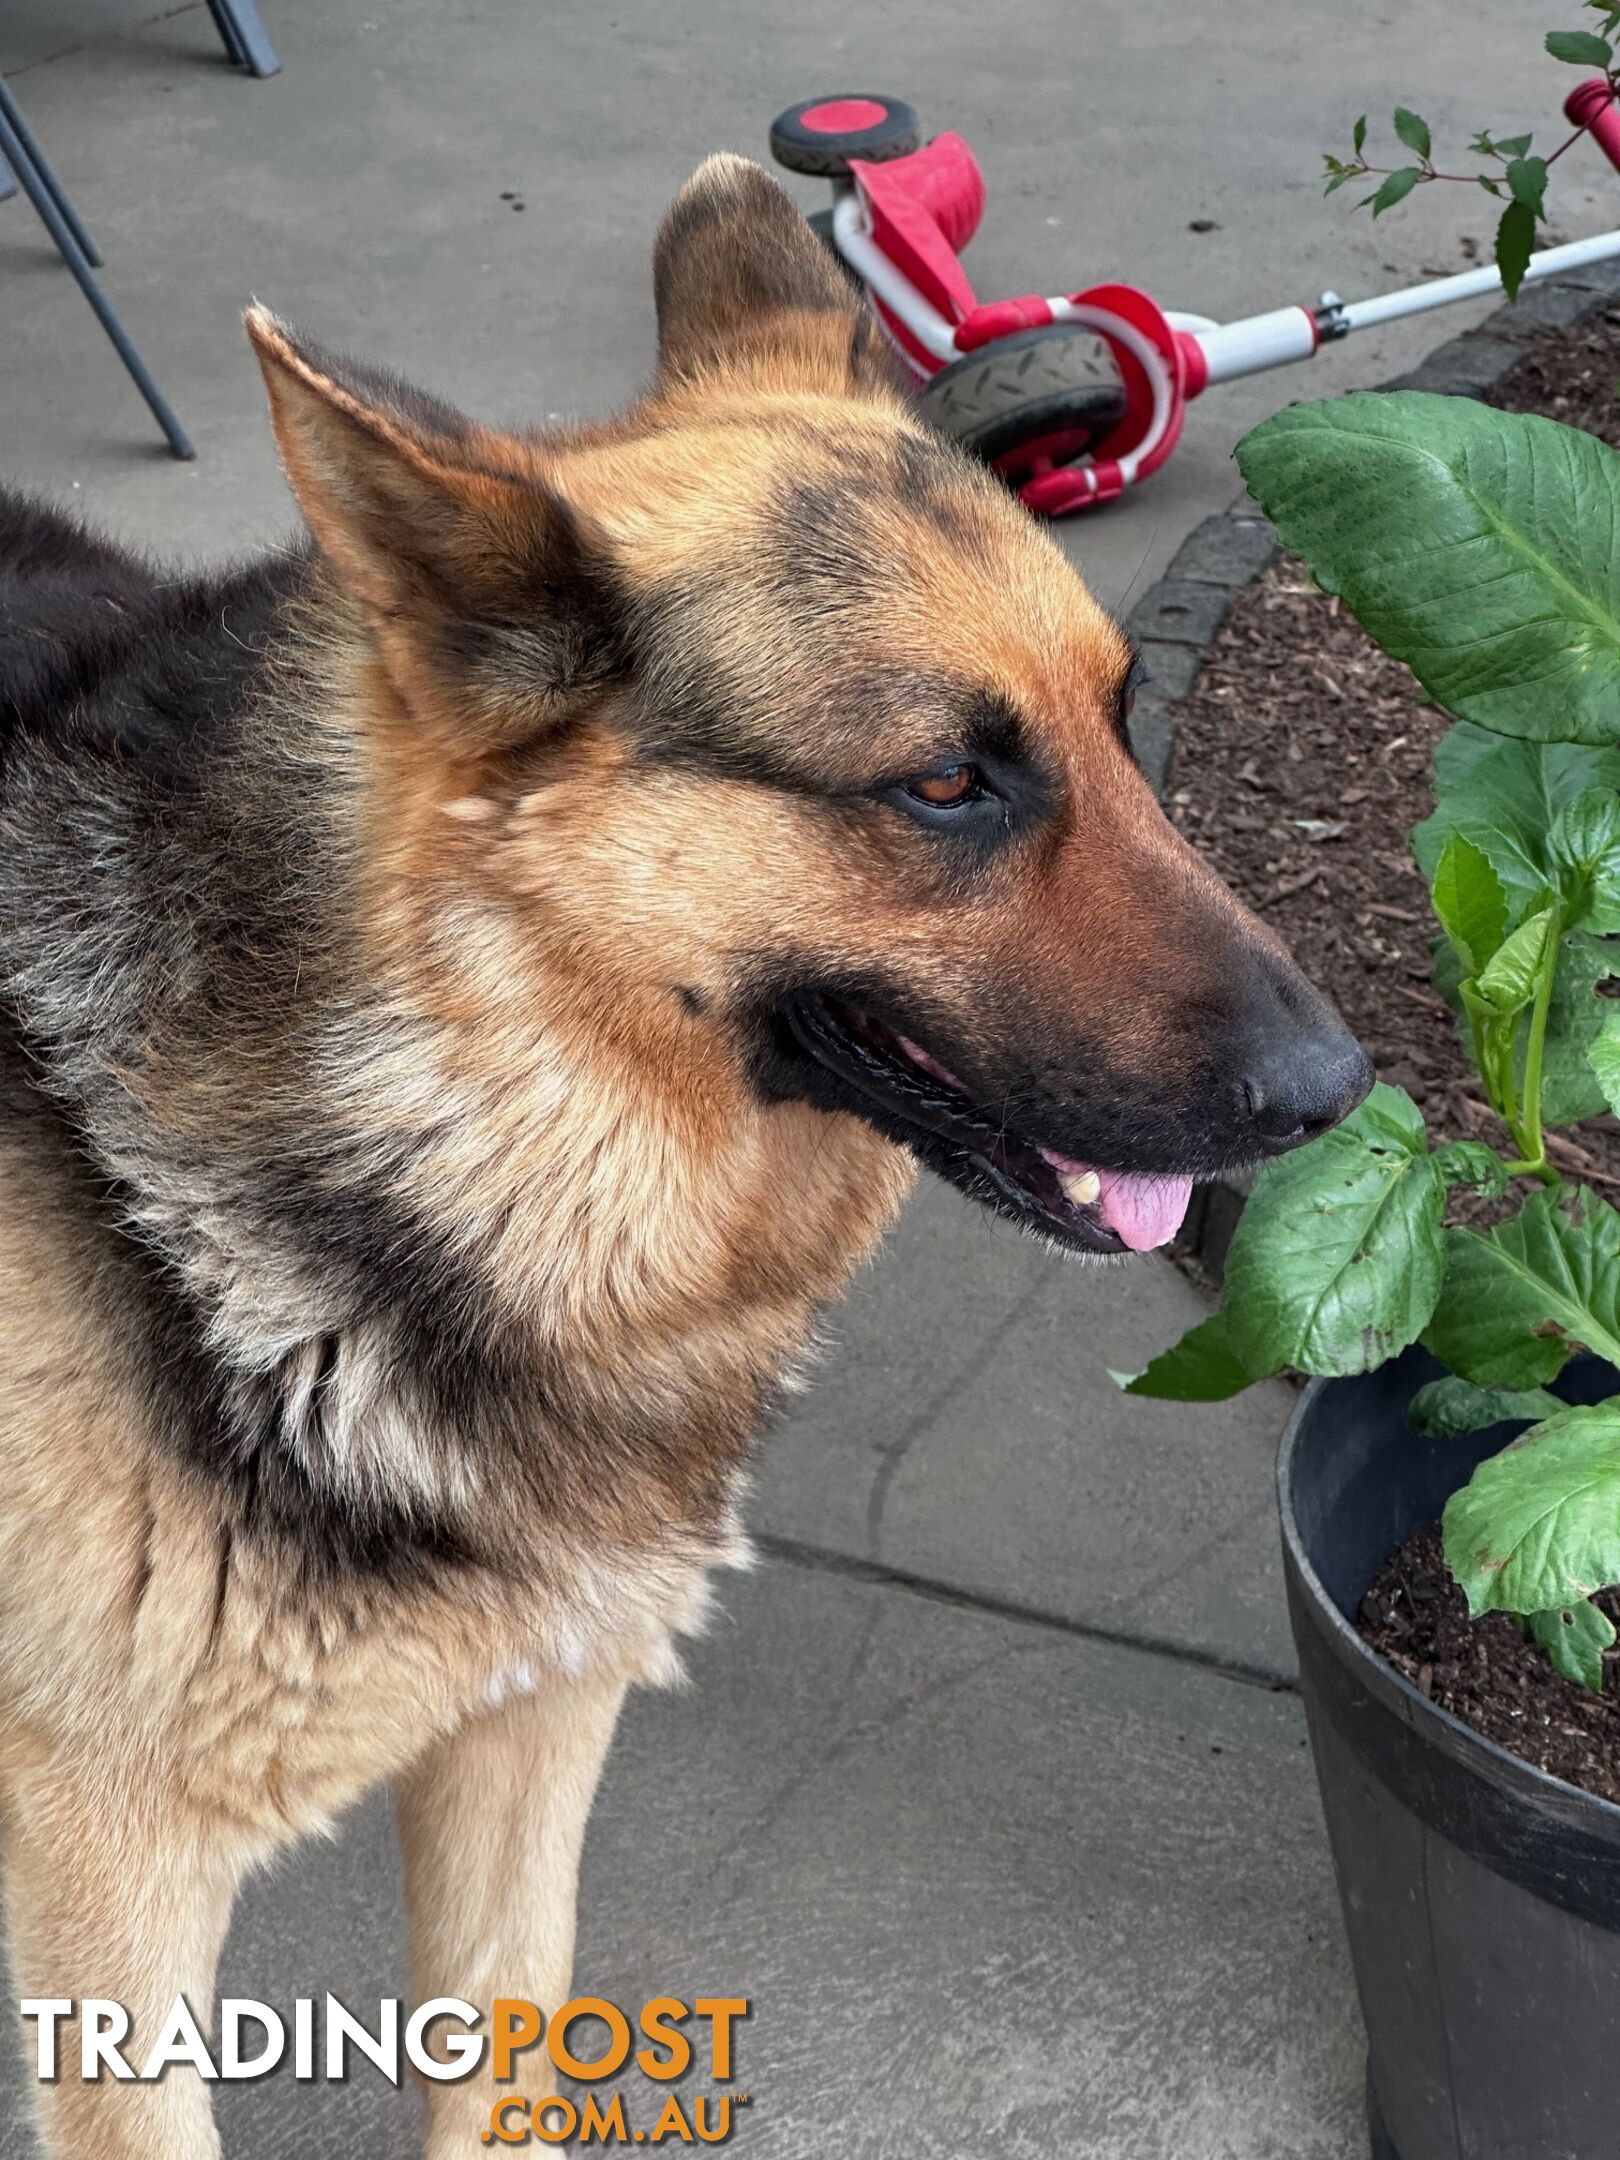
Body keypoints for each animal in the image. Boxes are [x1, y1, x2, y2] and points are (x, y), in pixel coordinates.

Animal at [0, 159, 1373, 2151]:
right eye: (944, 785)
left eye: (1122, 730)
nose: (1346, 1087)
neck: (457, 1112)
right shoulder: (115, 1905)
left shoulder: (528, 1740)